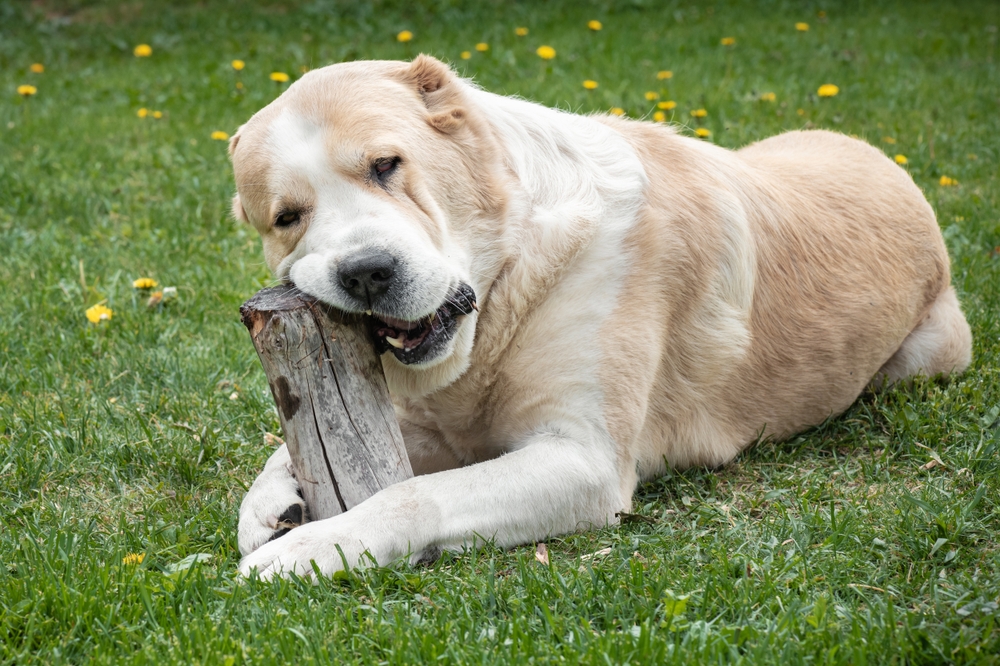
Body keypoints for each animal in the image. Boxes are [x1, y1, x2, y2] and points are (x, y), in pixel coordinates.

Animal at [229, 55, 968, 576]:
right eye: (288, 218)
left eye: (387, 165)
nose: (365, 271)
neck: (512, 278)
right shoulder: (436, 425)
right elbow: (283, 450)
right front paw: (270, 506)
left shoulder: (581, 459)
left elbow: (416, 495)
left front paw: (311, 549)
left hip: (929, 357)